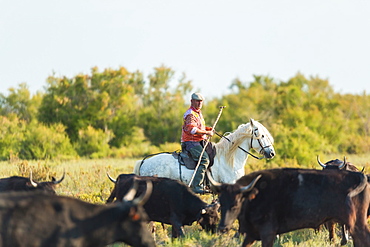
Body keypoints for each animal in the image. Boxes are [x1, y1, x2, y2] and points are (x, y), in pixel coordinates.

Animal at [208, 168, 370, 247]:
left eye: (236, 204)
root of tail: (358, 175)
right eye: (221, 202)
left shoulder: (268, 233)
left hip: (356, 224)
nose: (222, 228)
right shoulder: (251, 235)